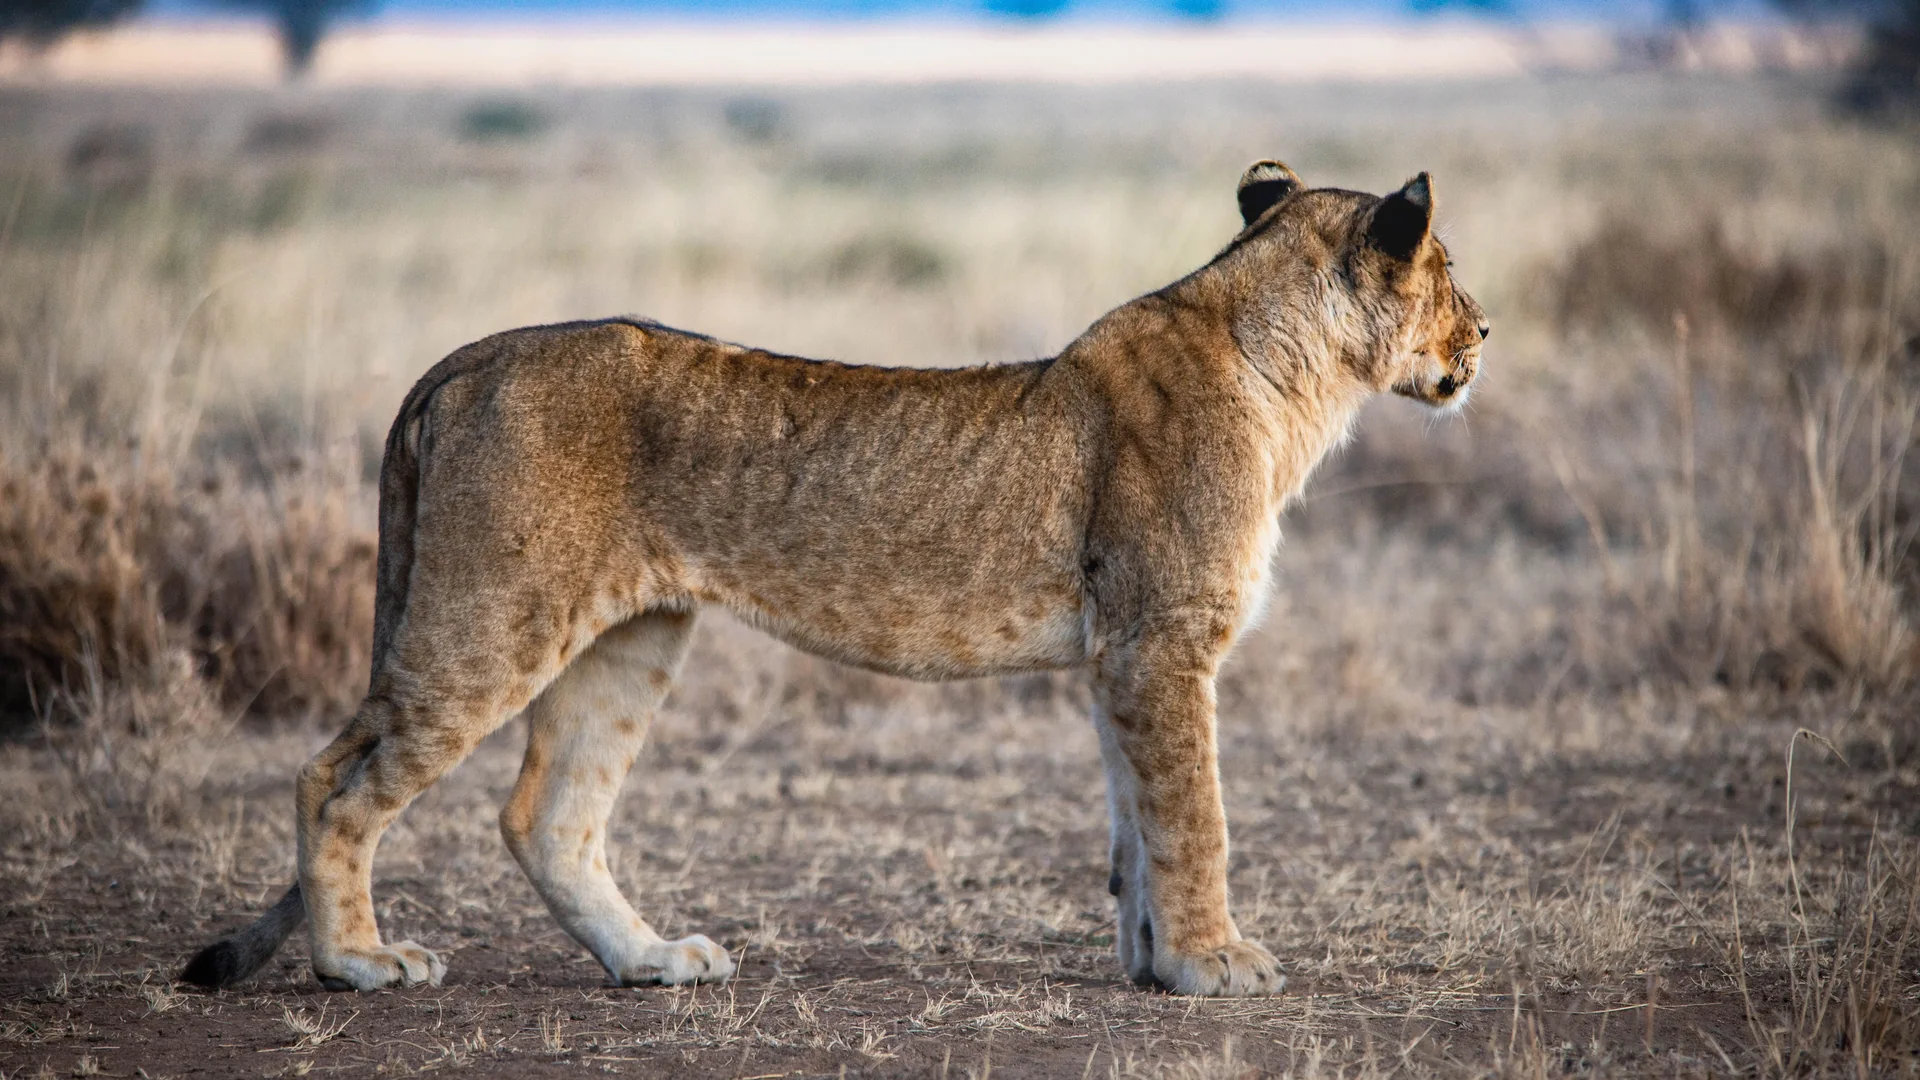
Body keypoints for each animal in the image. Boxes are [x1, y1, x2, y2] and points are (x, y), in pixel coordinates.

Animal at [179, 160, 1487, 998]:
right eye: (1450, 271)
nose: (1485, 336)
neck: (1294, 379)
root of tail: (464, 356)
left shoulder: (1123, 654)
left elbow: (1136, 825)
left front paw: (1157, 965)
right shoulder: (1164, 641)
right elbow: (1195, 817)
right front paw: (1219, 964)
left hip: (632, 637)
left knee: (546, 814)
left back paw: (652, 962)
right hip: (488, 621)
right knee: (331, 780)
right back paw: (359, 963)